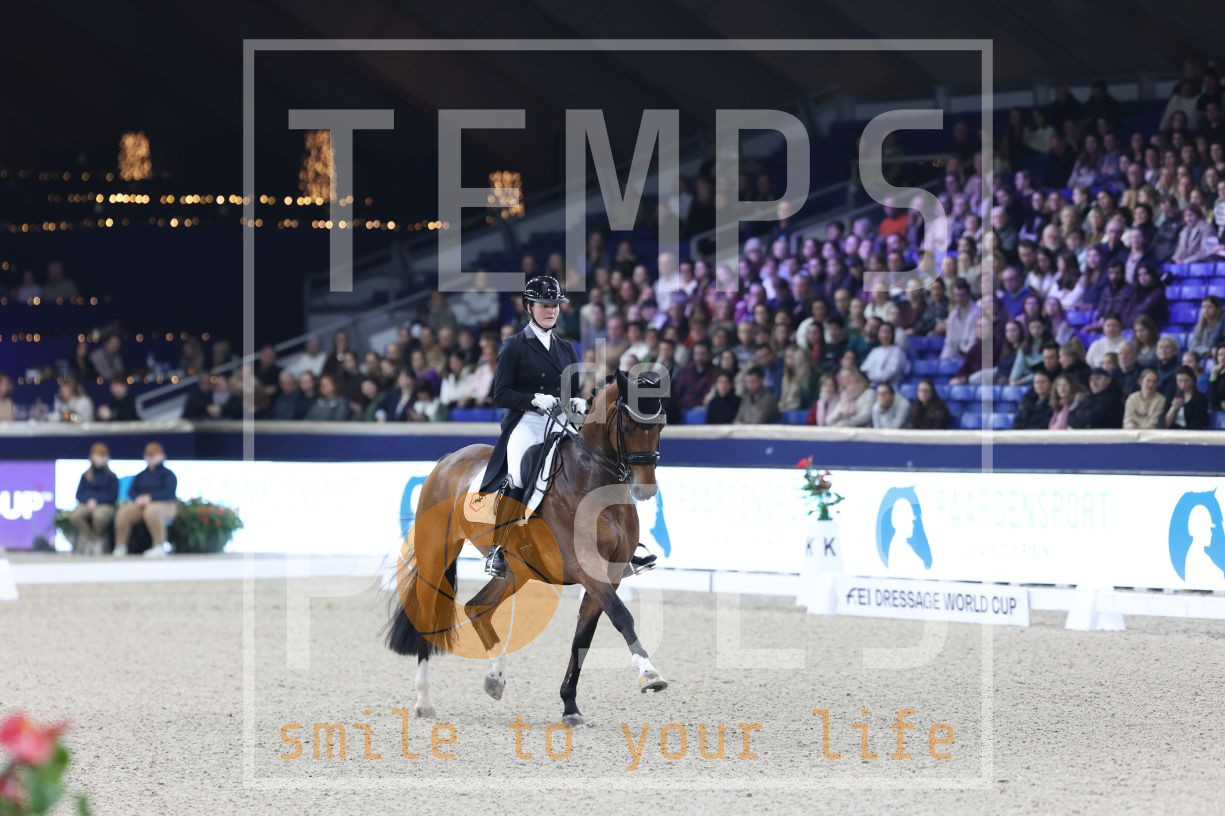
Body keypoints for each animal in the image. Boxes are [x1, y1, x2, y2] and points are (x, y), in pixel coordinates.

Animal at [384, 368, 667, 727]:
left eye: (660, 426)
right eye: (629, 426)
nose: (646, 489)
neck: (591, 482)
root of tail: (449, 459)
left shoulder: (609, 576)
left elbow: (582, 639)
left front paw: (570, 706)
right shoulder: (588, 570)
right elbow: (622, 616)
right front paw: (650, 674)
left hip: (516, 571)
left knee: (477, 607)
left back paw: (495, 678)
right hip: (437, 554)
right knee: (428, 614)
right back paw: (424, 701)